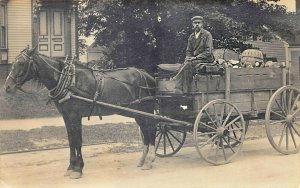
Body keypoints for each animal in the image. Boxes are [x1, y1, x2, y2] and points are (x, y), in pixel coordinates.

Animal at [4, 46, 157, 178]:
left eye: (21, 63)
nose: (7, 86)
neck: (69, 81)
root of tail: (148, 76)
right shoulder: (66, 117)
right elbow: (71, 141)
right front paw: (70, 167)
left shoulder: (75, 116)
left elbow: (78, 141)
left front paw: (78, 169)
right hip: (138, 113)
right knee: (146, 131)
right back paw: (143, 160)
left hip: (146, 110)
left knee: (152, 130)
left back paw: (150, 160)